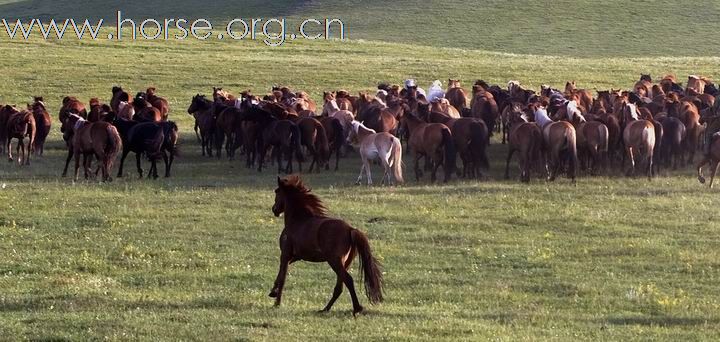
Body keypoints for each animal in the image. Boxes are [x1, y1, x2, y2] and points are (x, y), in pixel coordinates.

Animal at [268, 176, 382, 316]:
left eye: (277, 191)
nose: (274, 209)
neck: (298, 221)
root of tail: (350, 229)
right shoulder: (294, 257)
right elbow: (280, 274)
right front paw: (273, 292)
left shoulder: (285, 254)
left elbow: (282, 277)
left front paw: (276, 303)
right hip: (345, 262)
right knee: (339, 287)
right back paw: (325, 309)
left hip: (334, 261)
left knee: (348, 280)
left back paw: (356, 308)